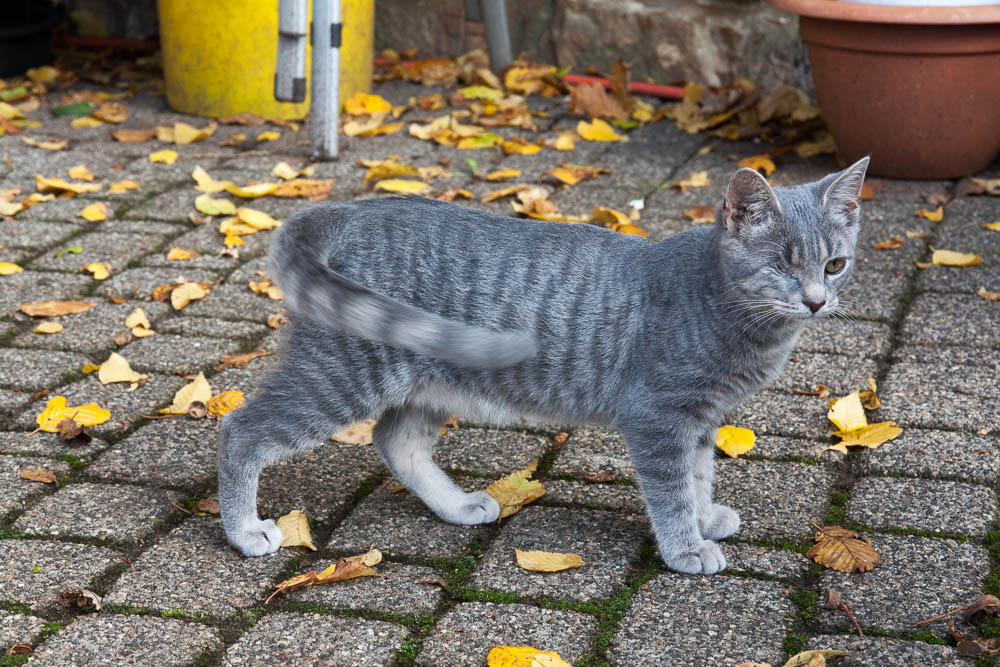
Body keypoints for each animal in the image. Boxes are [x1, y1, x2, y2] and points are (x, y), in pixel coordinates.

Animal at [217, 157, 868, 576]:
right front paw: (686, 545)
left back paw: (457, 505)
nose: (817, 300)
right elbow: (672, 488)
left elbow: (700, 474)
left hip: (428, 380)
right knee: (241, 430)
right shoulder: (660, 418)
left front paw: (705, 516)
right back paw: (244, 529)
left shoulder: (702, 420)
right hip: (341, 373)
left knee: (394, 440)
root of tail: (351, 210)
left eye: (835, 264)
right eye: (782, 265)